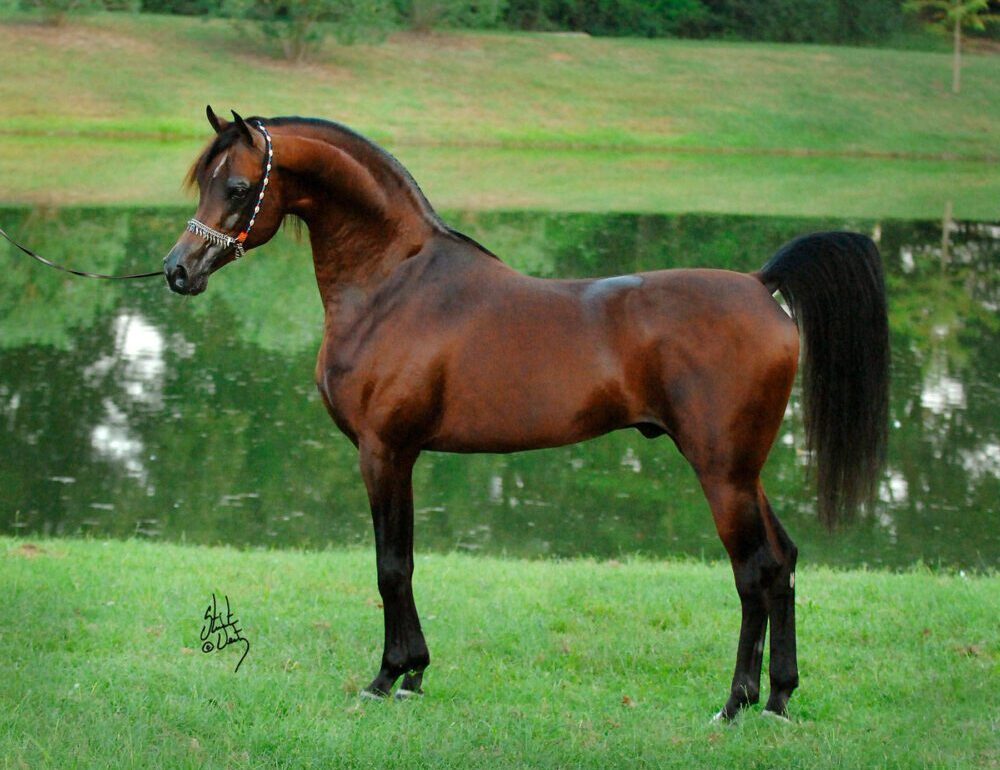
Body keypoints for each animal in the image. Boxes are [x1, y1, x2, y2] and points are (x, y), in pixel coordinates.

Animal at [164, 107, 889, 720]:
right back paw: (779, 699)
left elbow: (392, 566)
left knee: (754, 571)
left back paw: (735, 704)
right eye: (205, 184)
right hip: (744, 470)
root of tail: (761, 286)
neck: (394, 283)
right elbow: (405, 562)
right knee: (784, 562)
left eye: (236, 187)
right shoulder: (402, 455)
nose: (177, 271)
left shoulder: (385, 451)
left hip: (722, 473)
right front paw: (416, 675)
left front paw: (388, 677)